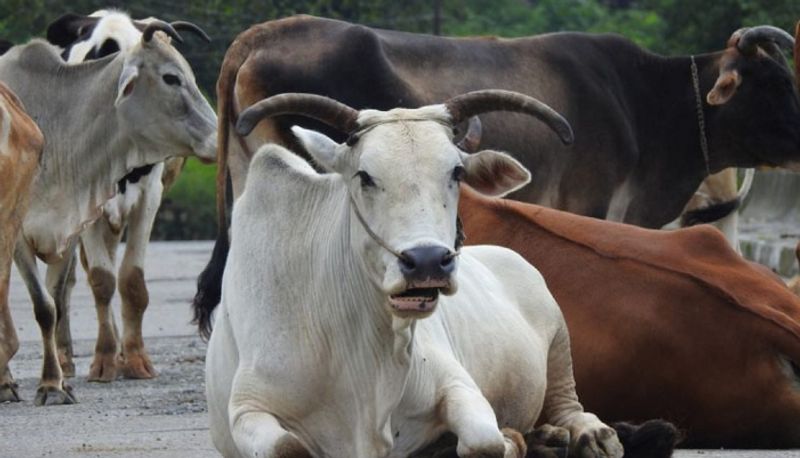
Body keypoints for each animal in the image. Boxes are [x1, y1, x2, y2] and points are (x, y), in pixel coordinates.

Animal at [0, 22, 216, 405]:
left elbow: (56, 304)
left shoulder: (70, 229)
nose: (219, 136)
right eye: (171, 78)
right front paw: (47, 383)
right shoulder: (18, 231)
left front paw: (55, 382)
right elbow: (42, 305)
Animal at [190, 89, 671, 457]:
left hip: (558, 343)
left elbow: (484, 441)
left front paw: (514, 441)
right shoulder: (248, 408)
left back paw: (584, 435)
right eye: (364, 176)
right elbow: (289, 447)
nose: (426, 261)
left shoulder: (457, 383)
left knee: (570, 405)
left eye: (456, 171)